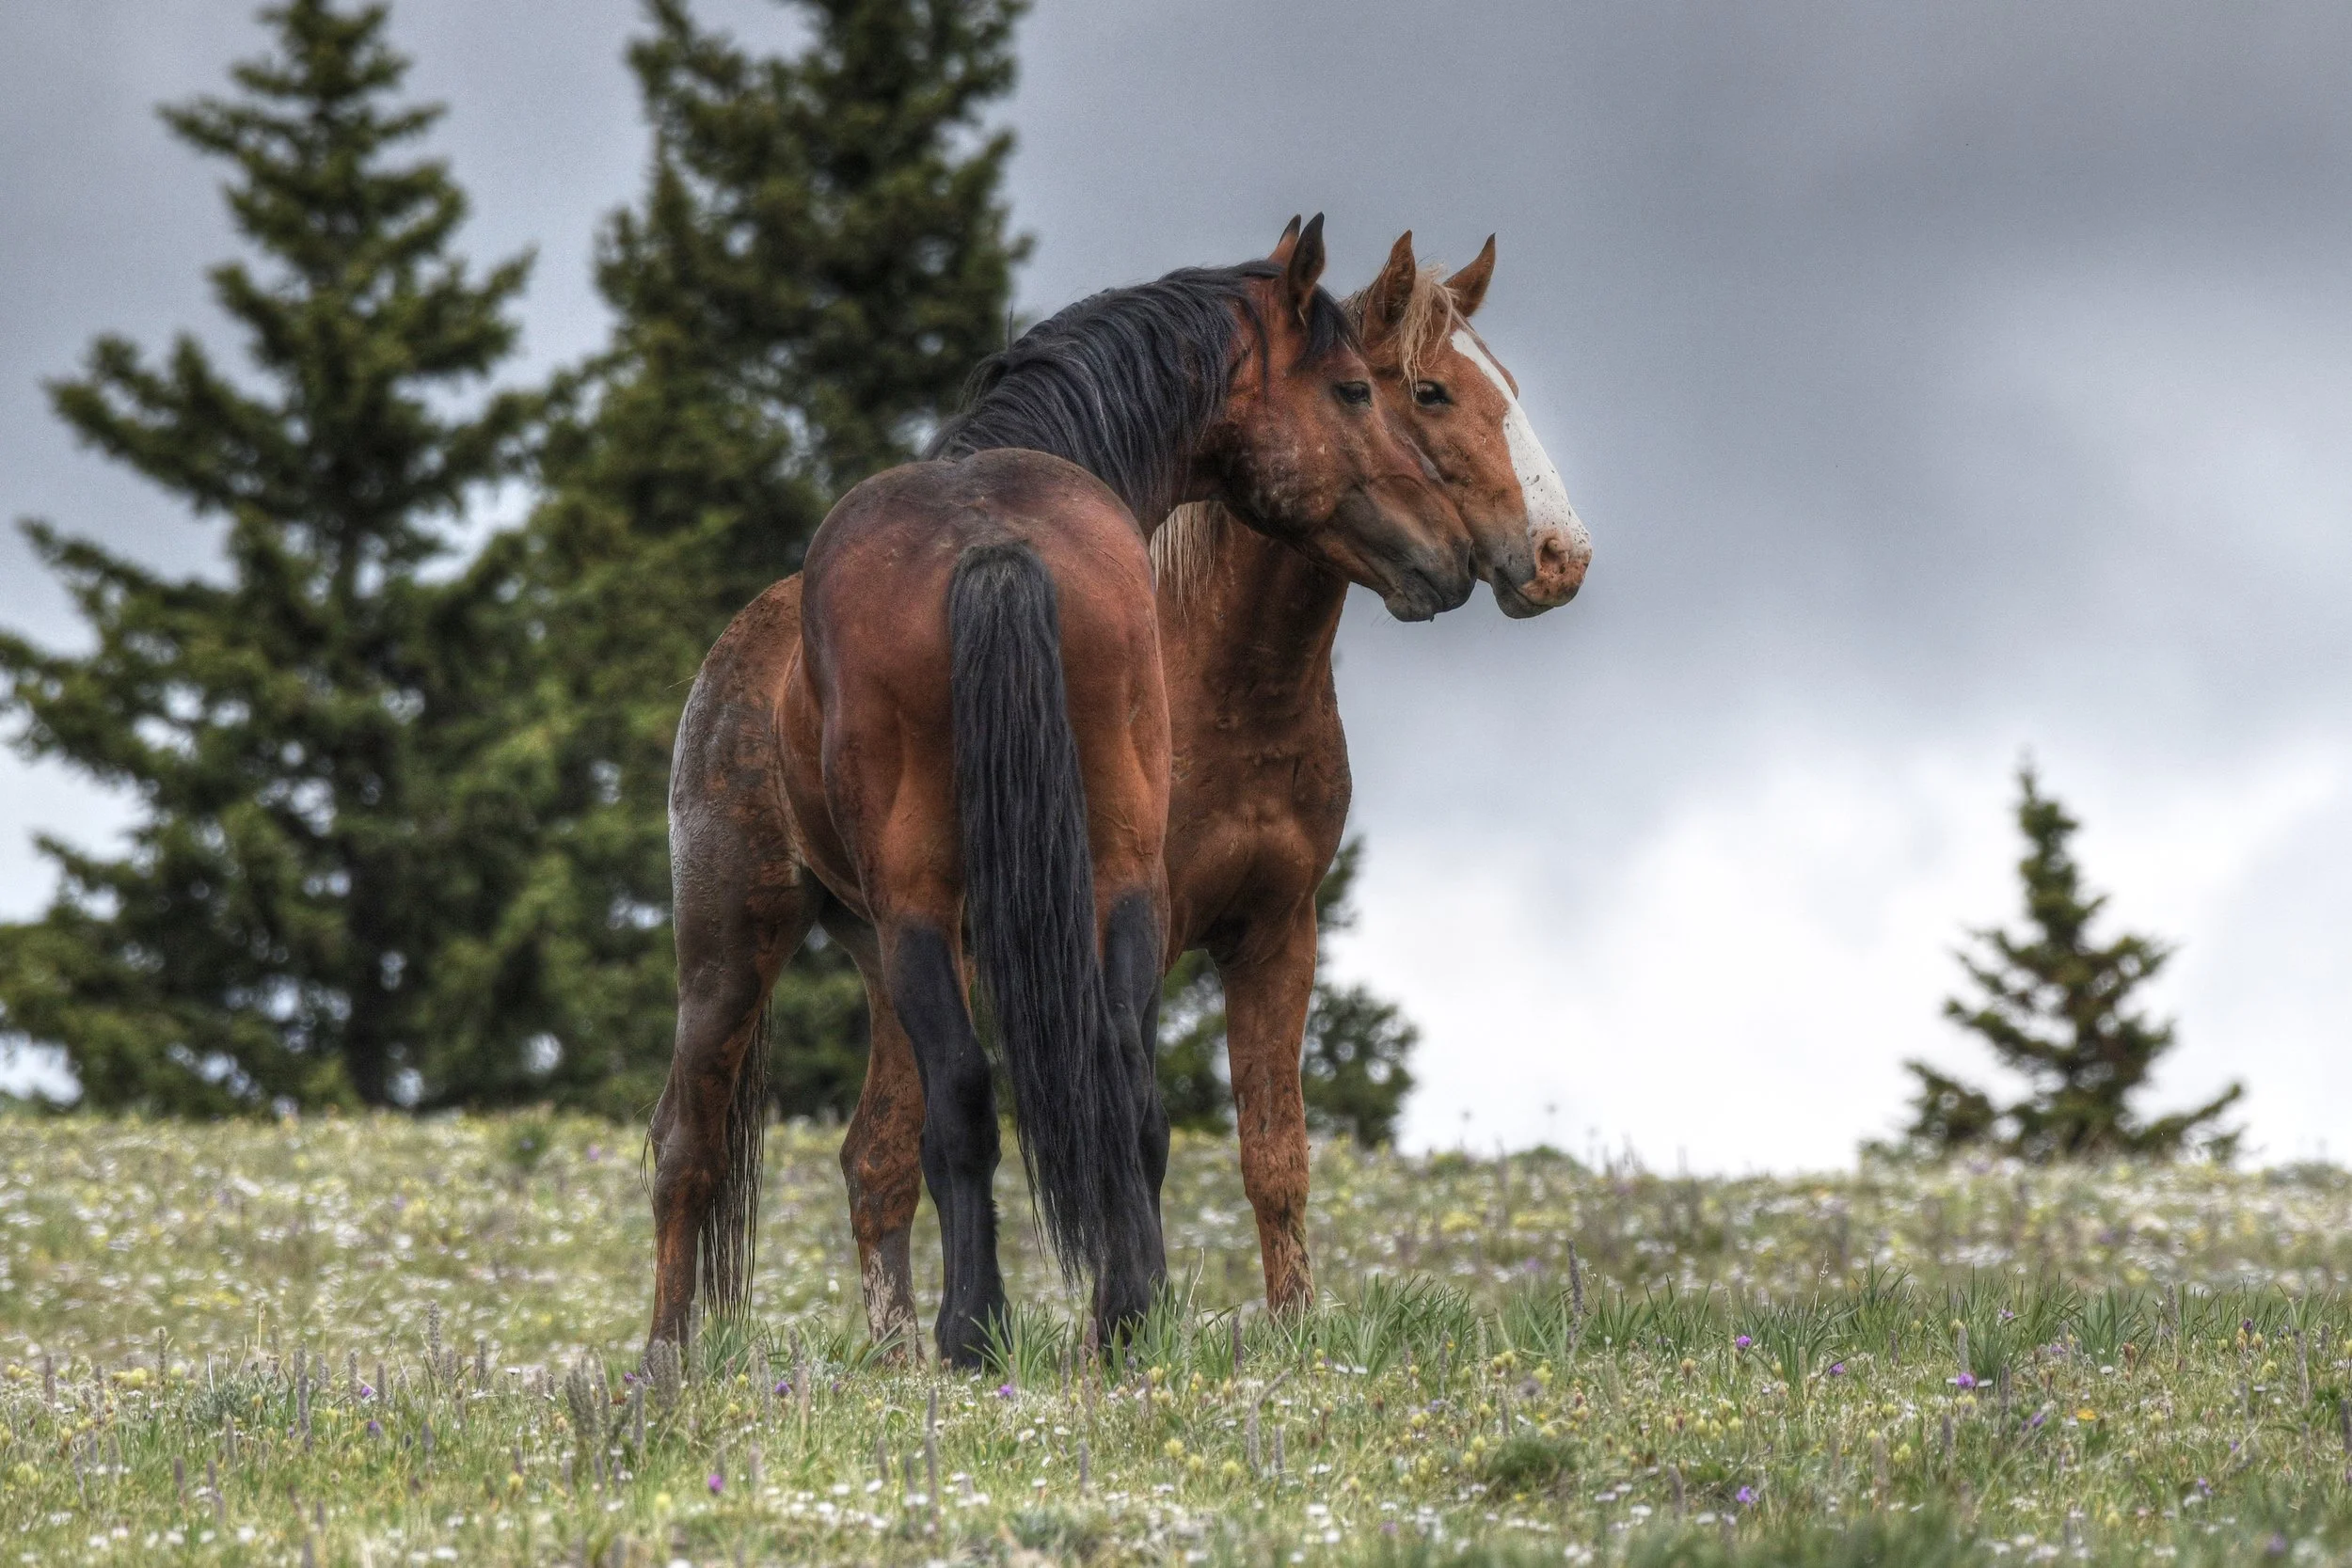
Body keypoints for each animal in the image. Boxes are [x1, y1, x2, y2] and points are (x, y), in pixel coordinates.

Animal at [647, 218, 1485, 1364]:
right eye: (1358, 389)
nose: (1453, 554)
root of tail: (990, 543)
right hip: (951, 905)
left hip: (822, 933)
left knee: (815, 1131)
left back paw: (900, 1340)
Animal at [834, 233, 1592, 1346]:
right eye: (1429, 390)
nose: (1561, 555)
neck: (1227, 687)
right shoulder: (1140, 926)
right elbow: (1124, 1114)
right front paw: (1124, 1311)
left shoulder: (1278, 930)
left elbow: (1274, 1153)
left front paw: (1294, 1325)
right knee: (883, 1155)